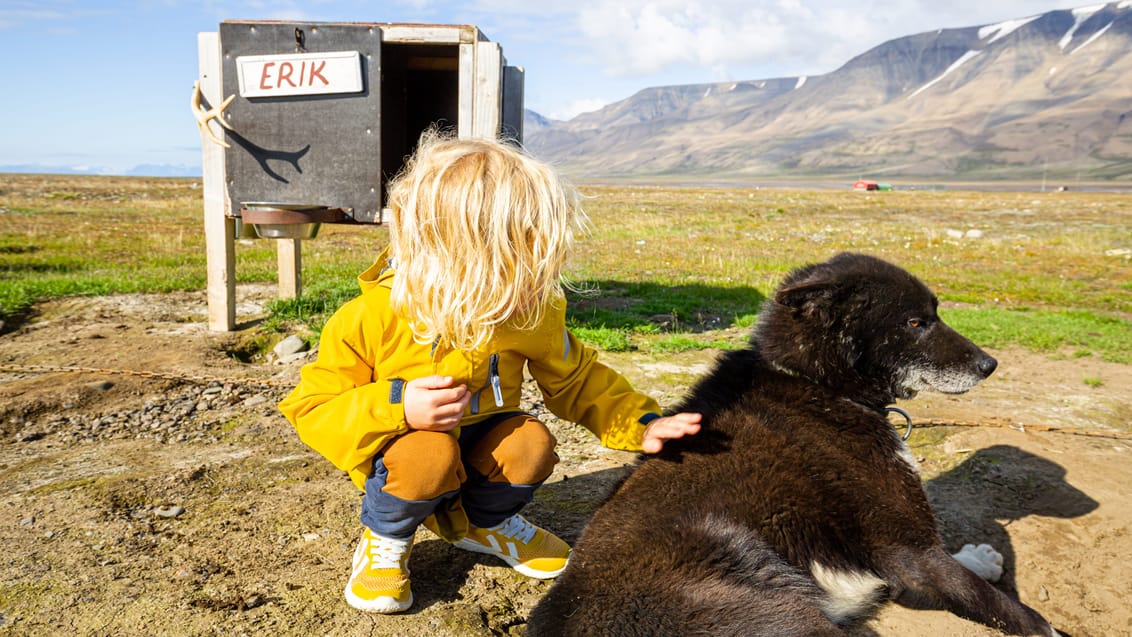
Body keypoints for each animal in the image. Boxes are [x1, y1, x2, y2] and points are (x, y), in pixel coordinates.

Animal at [529, 254, 1059, 637]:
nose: (990, 364)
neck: (816, 385)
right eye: (915, 323)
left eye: (935, 314)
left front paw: (980, 557)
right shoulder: (910, 553)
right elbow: (1009, 609)